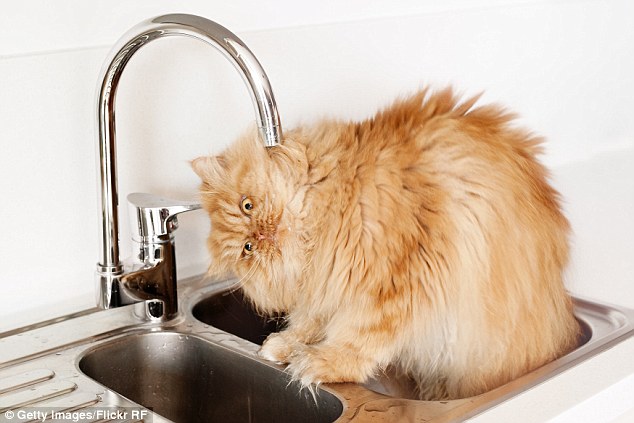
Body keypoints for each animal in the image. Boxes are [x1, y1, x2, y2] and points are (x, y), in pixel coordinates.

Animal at [191, 88, 576, 400]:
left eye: (247, 205)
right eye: (247, 249)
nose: (262, 235)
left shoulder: (397, 283)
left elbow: (357, 343)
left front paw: (318, 364)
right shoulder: (330, 284)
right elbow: (308, 324)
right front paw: (284, 346)